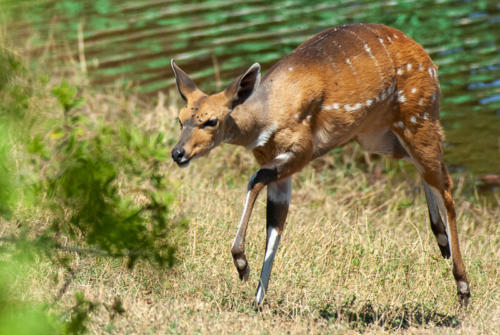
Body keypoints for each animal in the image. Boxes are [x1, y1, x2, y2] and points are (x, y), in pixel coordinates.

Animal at [170, 23, 470, 308]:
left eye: (211, 121)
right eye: (180, 119)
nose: (177, 153)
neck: (266, 116)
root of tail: (428, 60)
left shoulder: (301, 150)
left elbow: (256, 180)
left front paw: (242, 265)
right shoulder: (278, 165)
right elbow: (275, 225)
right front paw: (257, 300)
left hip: (418, 117)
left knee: (445, 182)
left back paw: (463, 286)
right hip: (377, 136)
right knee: (423, 169)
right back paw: (441, 239)